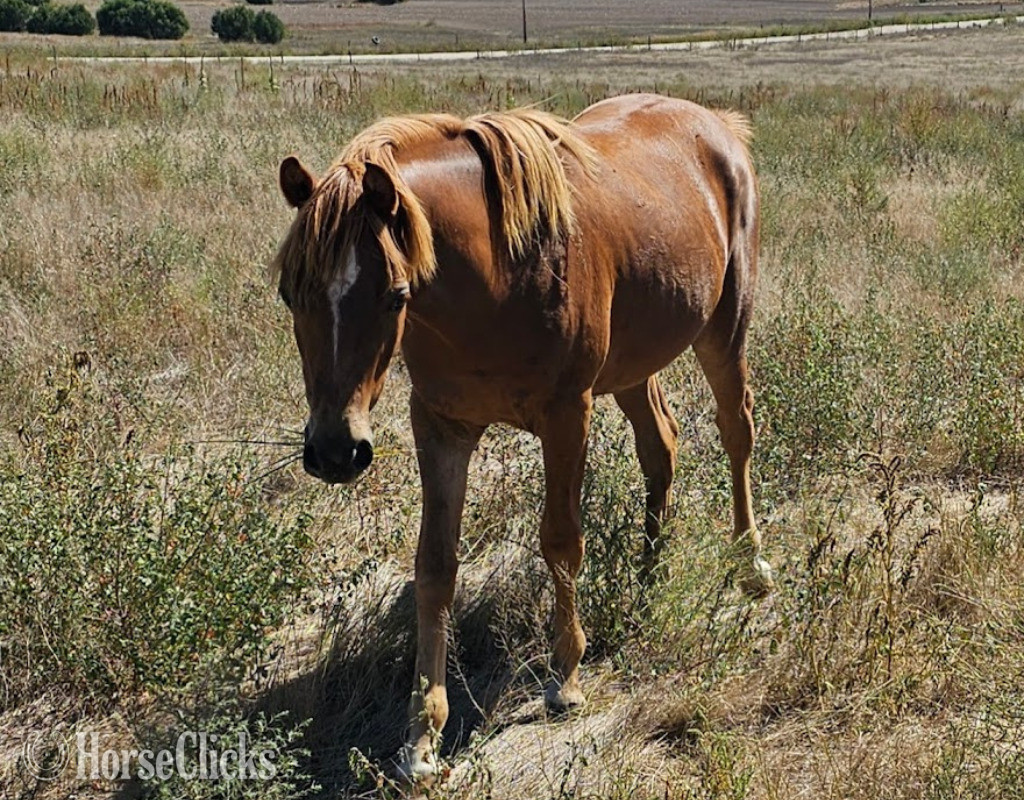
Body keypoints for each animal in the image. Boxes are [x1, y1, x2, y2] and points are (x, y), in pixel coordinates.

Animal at [271, 93, 774, 781]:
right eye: (289, 293)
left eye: (395, 294)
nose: (335, 451)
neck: (492, 280)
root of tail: (718, 124)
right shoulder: (441, 427)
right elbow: (435, 566)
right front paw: (421, 737)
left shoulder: (566, 416)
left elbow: (561, 540)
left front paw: (565, 677)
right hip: (633, 365)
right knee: (661, 448)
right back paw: (647, 579)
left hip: (725, 329)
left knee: (736, 432)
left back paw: (750, 565)